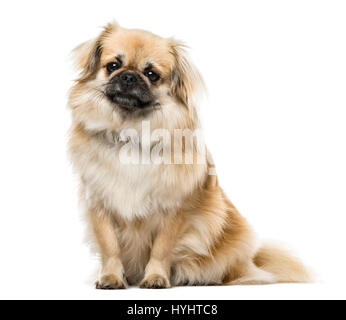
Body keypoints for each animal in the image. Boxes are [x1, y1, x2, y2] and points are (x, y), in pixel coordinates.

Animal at [67, 21, 310, 288]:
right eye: (112, 66)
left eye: (151, 74)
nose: (129, 76)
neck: (131, 133)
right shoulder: (100, 205)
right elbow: (110, 247)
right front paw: (111, 277)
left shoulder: (174, 210)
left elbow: (161, 249)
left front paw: (156, 278)